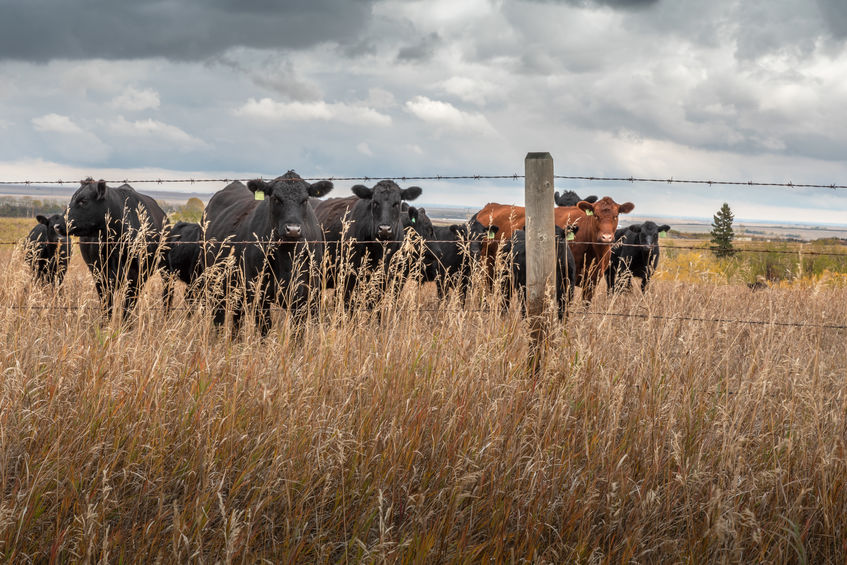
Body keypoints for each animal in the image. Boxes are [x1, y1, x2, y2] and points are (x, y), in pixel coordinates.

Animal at [60, 178, 166, 320]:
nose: (57, 224)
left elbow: (128, 307)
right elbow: (107, 306)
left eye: (83, 201)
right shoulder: (101, 274)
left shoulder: (136, 276)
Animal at [204, 170, 332, 332]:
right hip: (215, 282)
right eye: (276, 198)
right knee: (219, 316)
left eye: (305, 200)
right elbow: (266, 328)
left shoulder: (306, 296)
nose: (293, 229)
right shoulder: (259, 294)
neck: (287, 258)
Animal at [470, 196, 636, 300]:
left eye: (616, 216)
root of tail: (489, 207)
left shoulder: (592, 280)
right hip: (487, 266)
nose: (606, 237)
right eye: (595, 215)